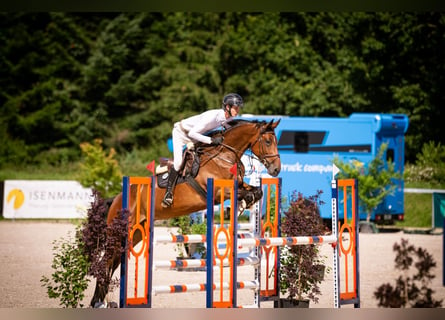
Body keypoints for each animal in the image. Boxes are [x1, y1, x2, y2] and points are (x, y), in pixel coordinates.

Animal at [88, 118, 280, 308]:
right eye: (268, 141)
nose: (276, 170)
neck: (223, 156)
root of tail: (116, 198)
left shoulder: (238, 185)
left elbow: (256, 191)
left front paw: (246, 202)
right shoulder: (219, 191)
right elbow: (242, 192)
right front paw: (244, 202)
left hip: (135, 233)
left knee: (113, 263)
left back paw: (102, 301)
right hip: (119, 231)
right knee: (106, 262)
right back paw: (97, 302)